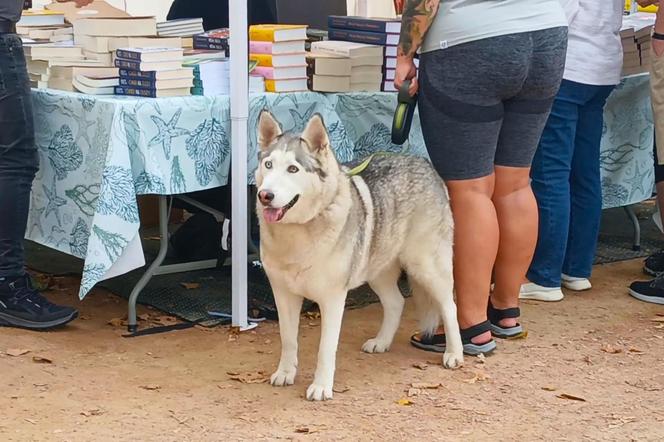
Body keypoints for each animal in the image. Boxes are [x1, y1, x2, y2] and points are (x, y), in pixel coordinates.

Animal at [254, 110, 462, 400]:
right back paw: (382, 342)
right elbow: (288, 339)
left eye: (293, 169)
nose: (265, 195)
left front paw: (321, 386)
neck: (300, 233)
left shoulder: (332, 300)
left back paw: (454, 353)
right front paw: (286, 373)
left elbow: (325, 349)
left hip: (426, 268)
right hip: (378, 271)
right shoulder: (283, 296)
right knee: (396, 303)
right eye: (269, 165)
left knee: (450, 306)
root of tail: (424, 163)